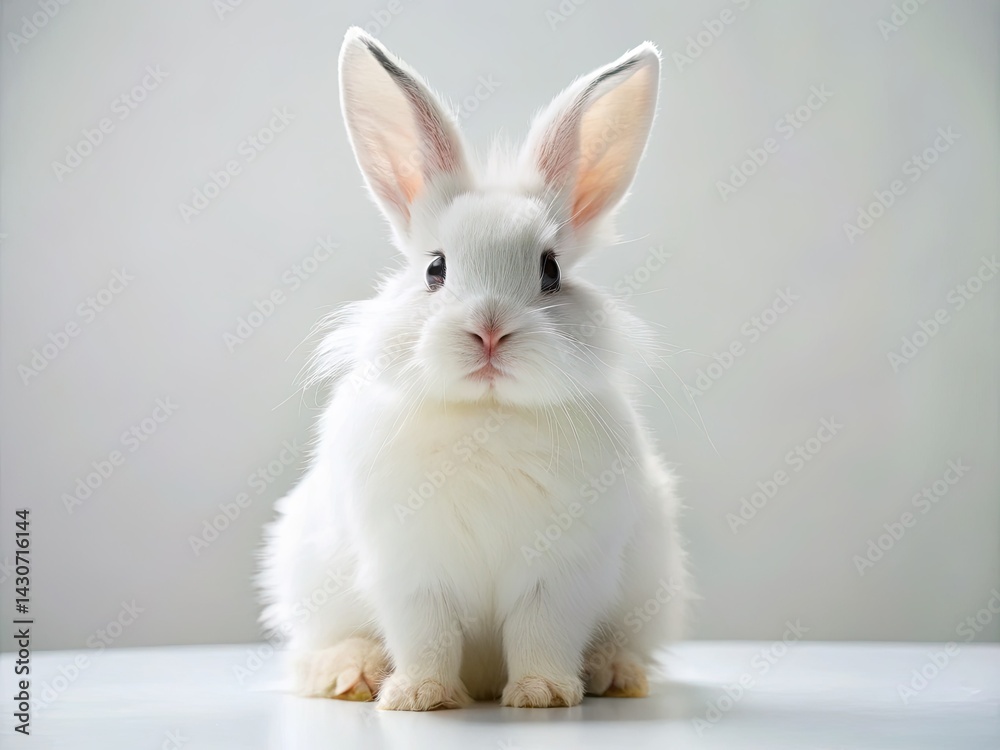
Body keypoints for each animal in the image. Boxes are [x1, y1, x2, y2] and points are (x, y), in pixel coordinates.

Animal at [258, 27, 690, 711]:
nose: (489, 330)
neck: (487, 414)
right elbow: (426, 636)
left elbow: (542, 633)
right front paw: (420, 698)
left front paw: (542, 695)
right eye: (435, 269)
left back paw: (612, 672)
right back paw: (350, 674)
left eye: (550, 270)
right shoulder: (411, 571)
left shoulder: (560, 575)